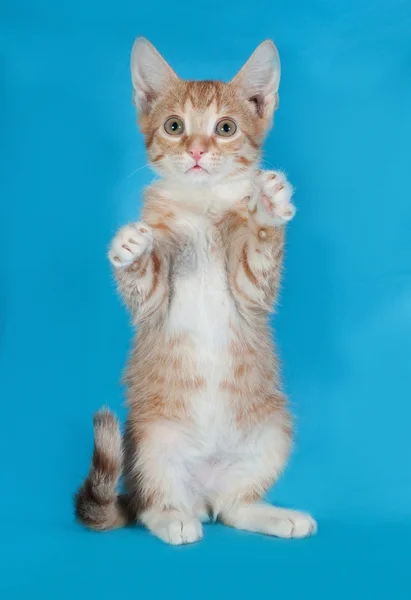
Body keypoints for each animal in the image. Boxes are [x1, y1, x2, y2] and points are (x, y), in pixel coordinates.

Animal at [75, 36, 318, 544]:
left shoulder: (252, 291)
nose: (198, 152)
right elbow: (145, 284)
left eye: (225, 128)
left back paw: (271, 514)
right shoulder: (150, 304)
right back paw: (173, 519)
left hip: (272, 432)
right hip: (149, 441)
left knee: (231, 506)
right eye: (174, 126)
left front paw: (268, 207)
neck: (203, 202)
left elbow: (256, 262)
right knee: (152, 504)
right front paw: (129, 248)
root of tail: (202, 490)